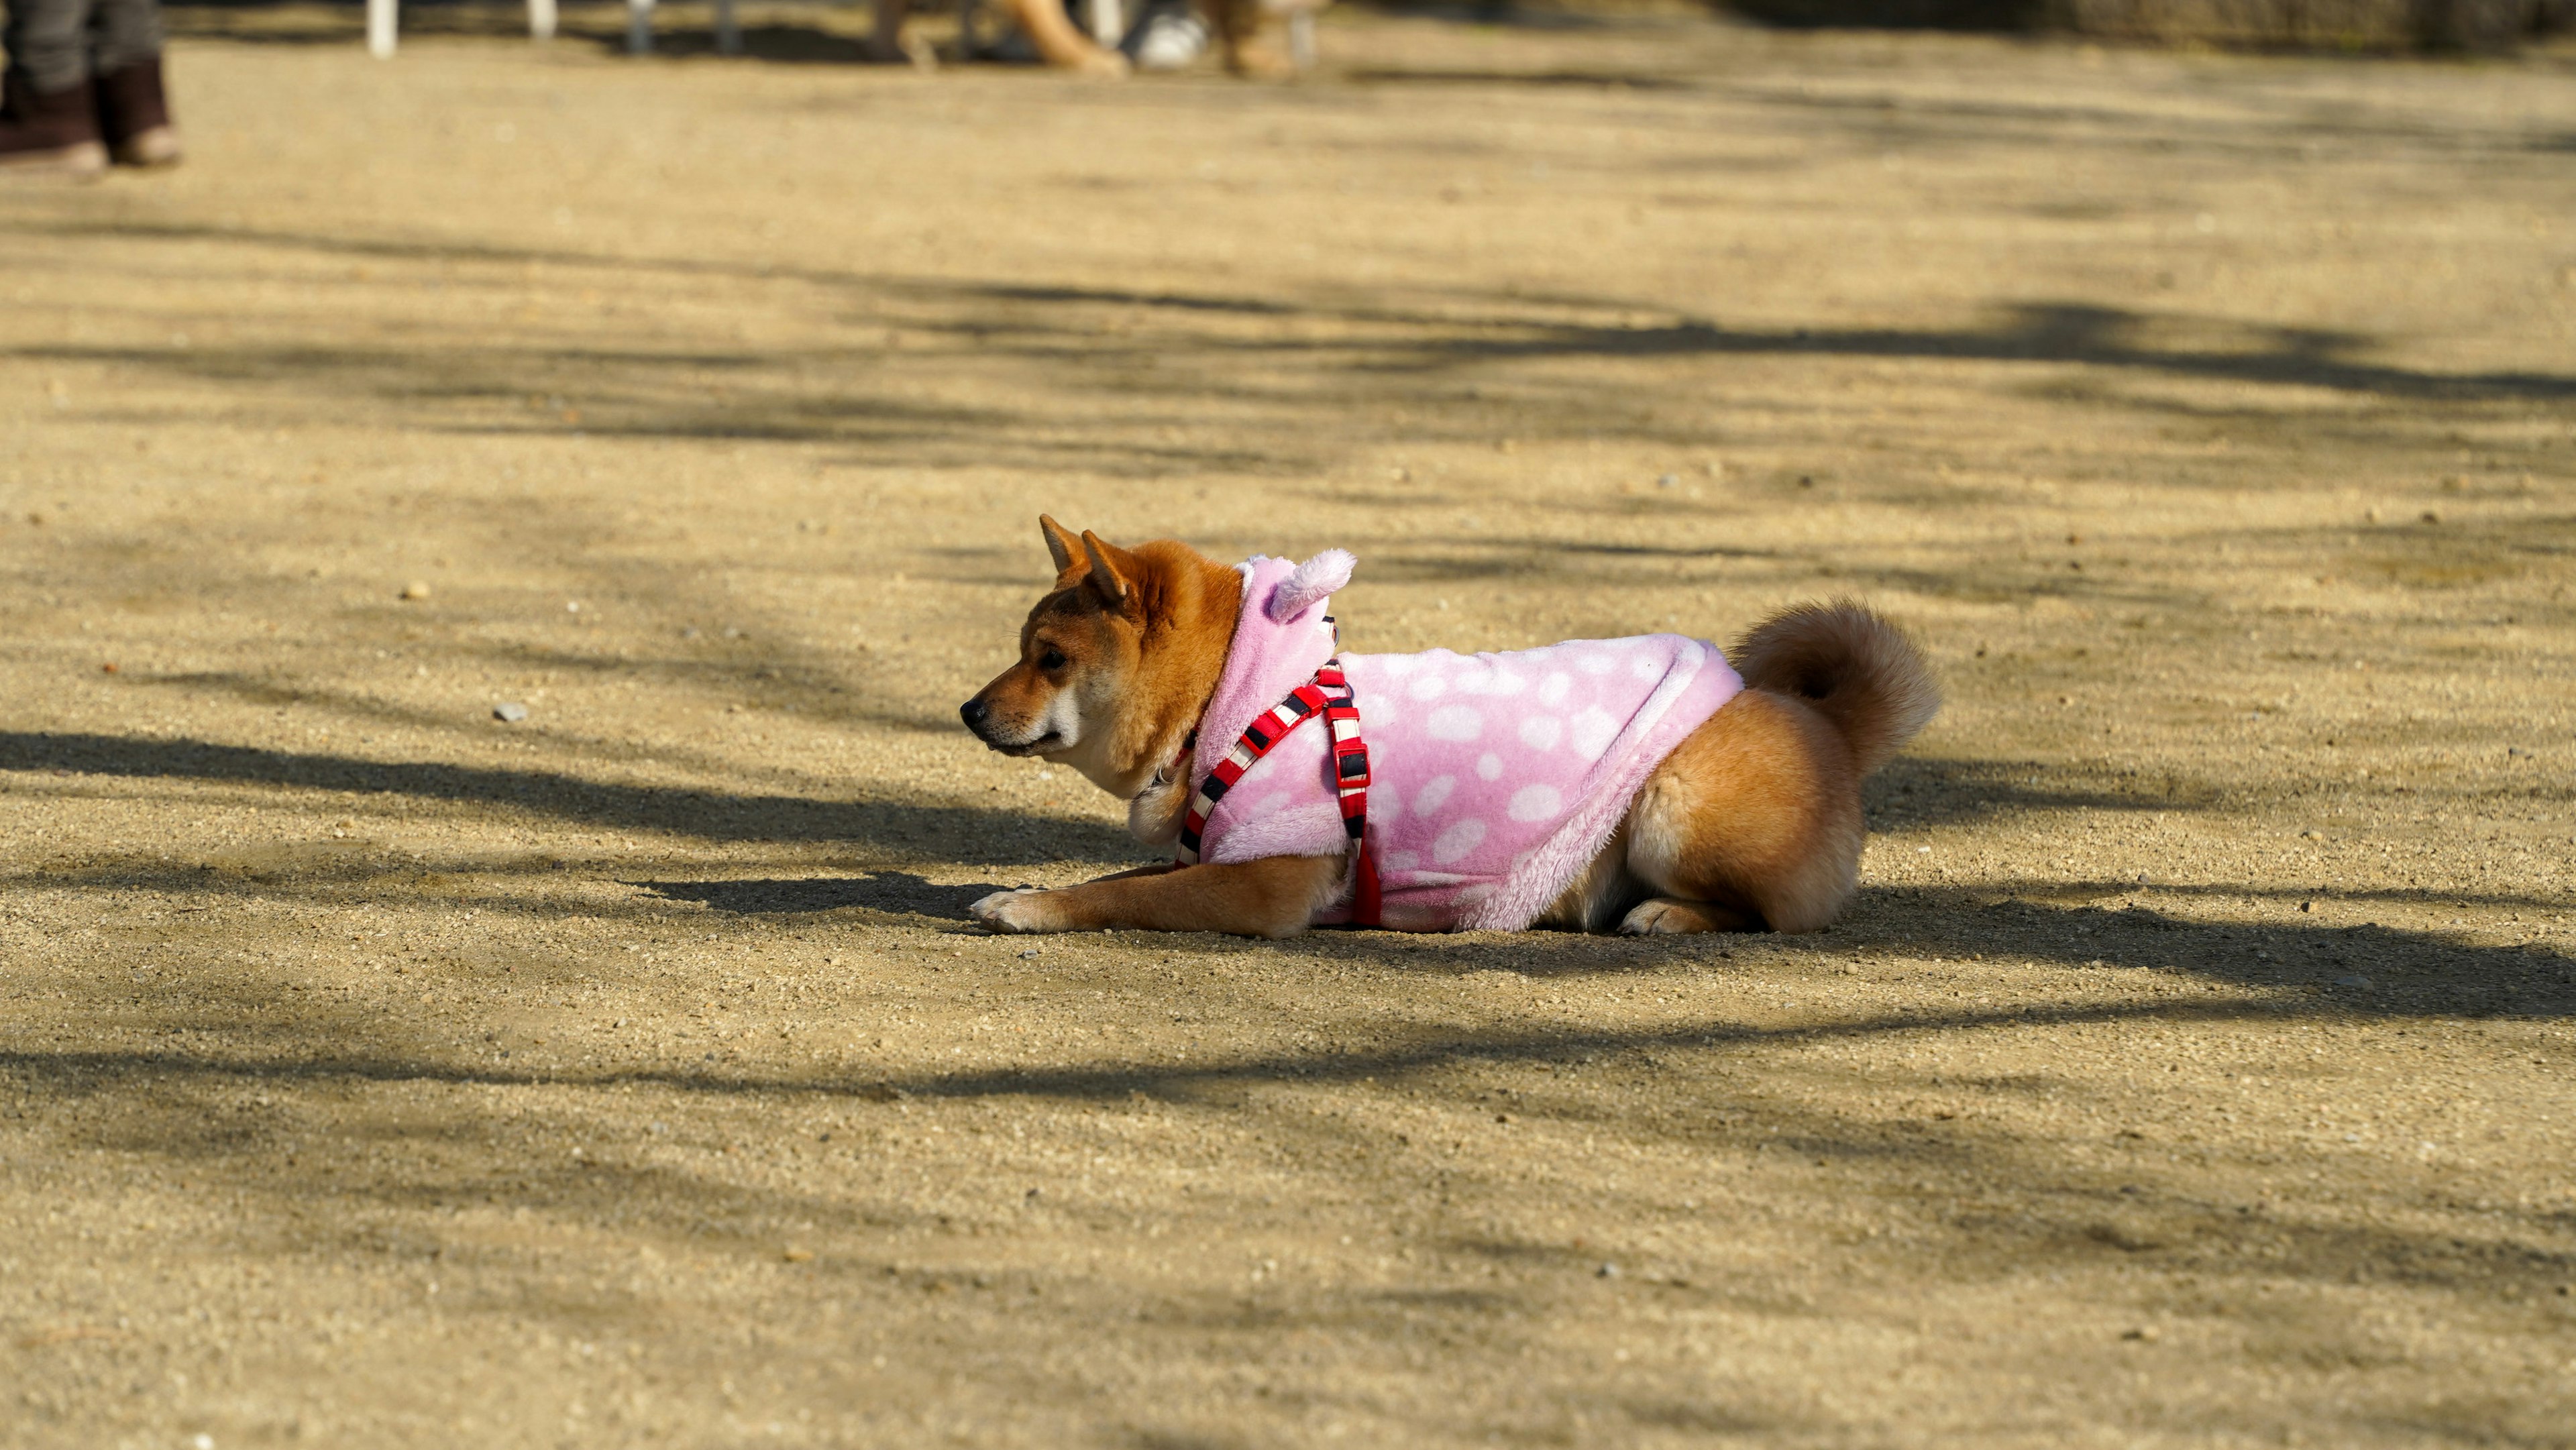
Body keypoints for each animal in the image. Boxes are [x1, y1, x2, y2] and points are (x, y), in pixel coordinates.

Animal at [963, 520, 1937, 942]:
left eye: (1050, 658)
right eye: (1021, 649)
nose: (968, 709)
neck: (1233, 703)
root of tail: (1823, 721)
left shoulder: (1266, 880)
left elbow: (1122, 893)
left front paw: (1032, 904)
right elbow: (1124, 874)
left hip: (1672, 804)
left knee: (1776, 913)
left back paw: (1668, 913)